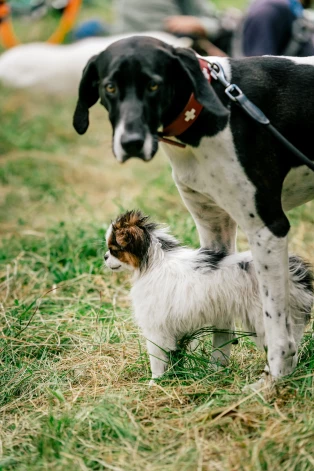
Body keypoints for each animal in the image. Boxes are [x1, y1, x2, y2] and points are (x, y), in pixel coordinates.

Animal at [72, 37, 314, 384]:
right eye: (110, 88)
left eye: (154, 85)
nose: (130, 142)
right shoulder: (214, 227)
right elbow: (219, 324)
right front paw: (216, 374)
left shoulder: (268, 229)